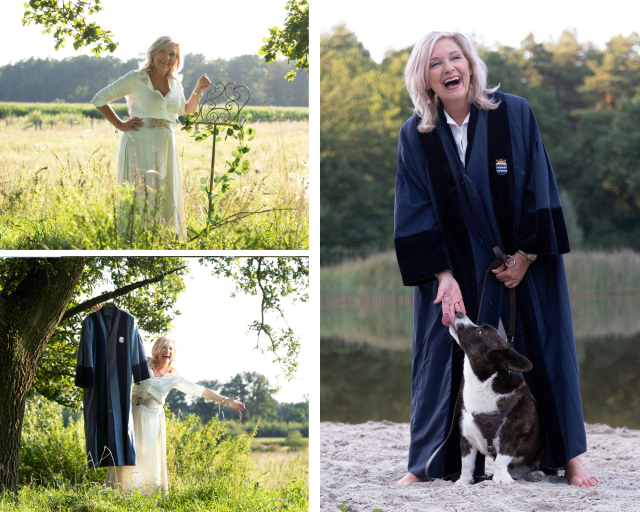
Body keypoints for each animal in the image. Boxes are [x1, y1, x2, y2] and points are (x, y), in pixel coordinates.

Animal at [444, 312, 544, 484]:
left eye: (480, 332)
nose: (459, 313)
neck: (482, 384)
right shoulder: (466, 438)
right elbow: (466, 464)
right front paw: (463, 482)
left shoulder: (509, 438)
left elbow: (500, 460)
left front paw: (501, 479)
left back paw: (537, 474)